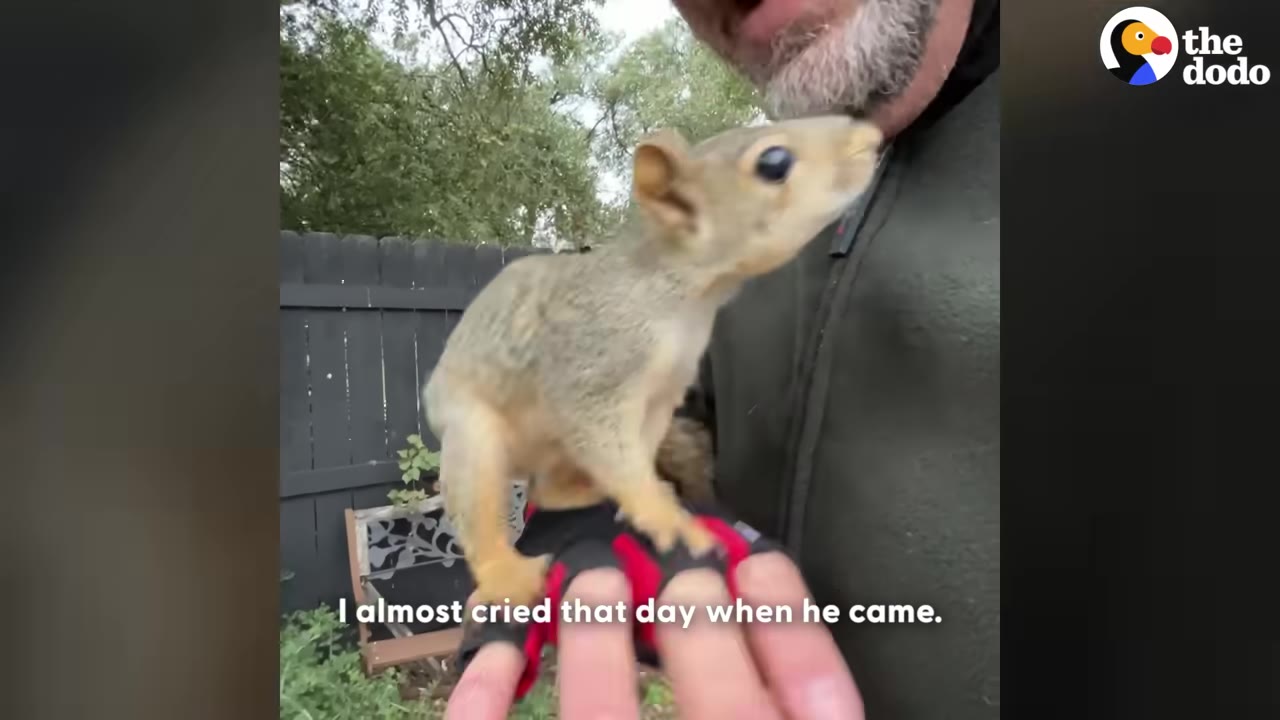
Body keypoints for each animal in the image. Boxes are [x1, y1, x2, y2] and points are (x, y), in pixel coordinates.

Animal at [423, 115, 884, 607]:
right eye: (774, 163)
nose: (870, 137)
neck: (685, 296)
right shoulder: (593, 366)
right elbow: (607, 439)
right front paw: (667, 519)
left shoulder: (666, 389)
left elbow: (642, 446)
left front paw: (651, 500)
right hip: (474, 435)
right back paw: (506, 575)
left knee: (546, 491)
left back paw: (581, 490)